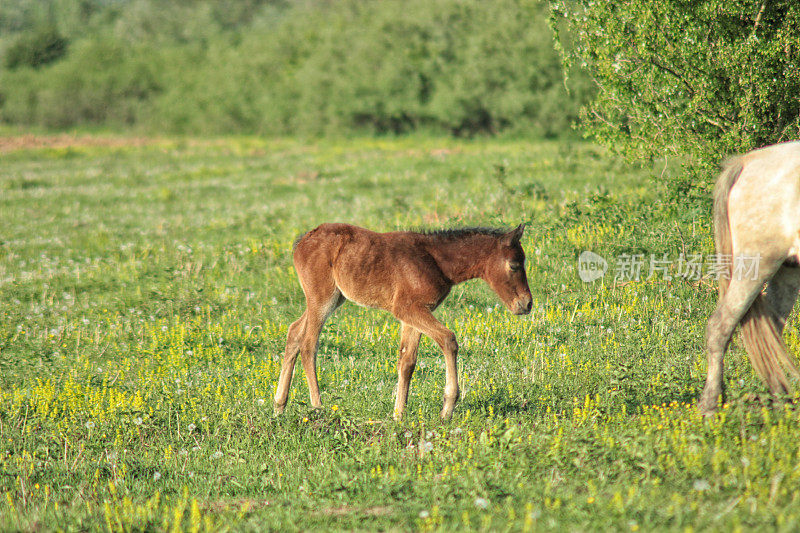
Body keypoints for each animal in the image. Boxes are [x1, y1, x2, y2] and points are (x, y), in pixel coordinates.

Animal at [274, 221, 532, 420]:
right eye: (514, 265)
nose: (527, 304)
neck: (436, 261)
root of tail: (302, 241)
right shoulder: (407, 309)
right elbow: (448, 339)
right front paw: (447, 408)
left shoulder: (414, 314)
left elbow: (407, 362)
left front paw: (399, 414)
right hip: (322, 298)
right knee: (309, 344)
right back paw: (318, 406)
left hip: (334, 298)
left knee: (294, 332)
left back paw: (279, 405)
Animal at [700, 140, 800, 412]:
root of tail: (747, 163)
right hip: (756, 264)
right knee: (720, 326)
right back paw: (710, 404)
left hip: (787, 269)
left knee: (771, 331)